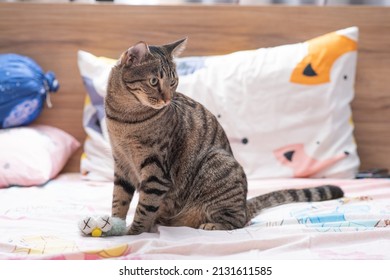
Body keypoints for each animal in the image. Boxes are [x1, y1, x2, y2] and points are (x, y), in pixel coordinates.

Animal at [104, 37, 344, 234]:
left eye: (173, 82)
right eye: (154, 81)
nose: (167, 99)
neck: (124, 119)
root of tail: (245, 203)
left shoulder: (156, 170)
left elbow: (145, 207)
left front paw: (134, 232)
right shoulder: (121, 163)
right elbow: (119, 199)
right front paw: (114, 225)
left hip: (217, 163)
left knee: (238, 221)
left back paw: (211, 224)